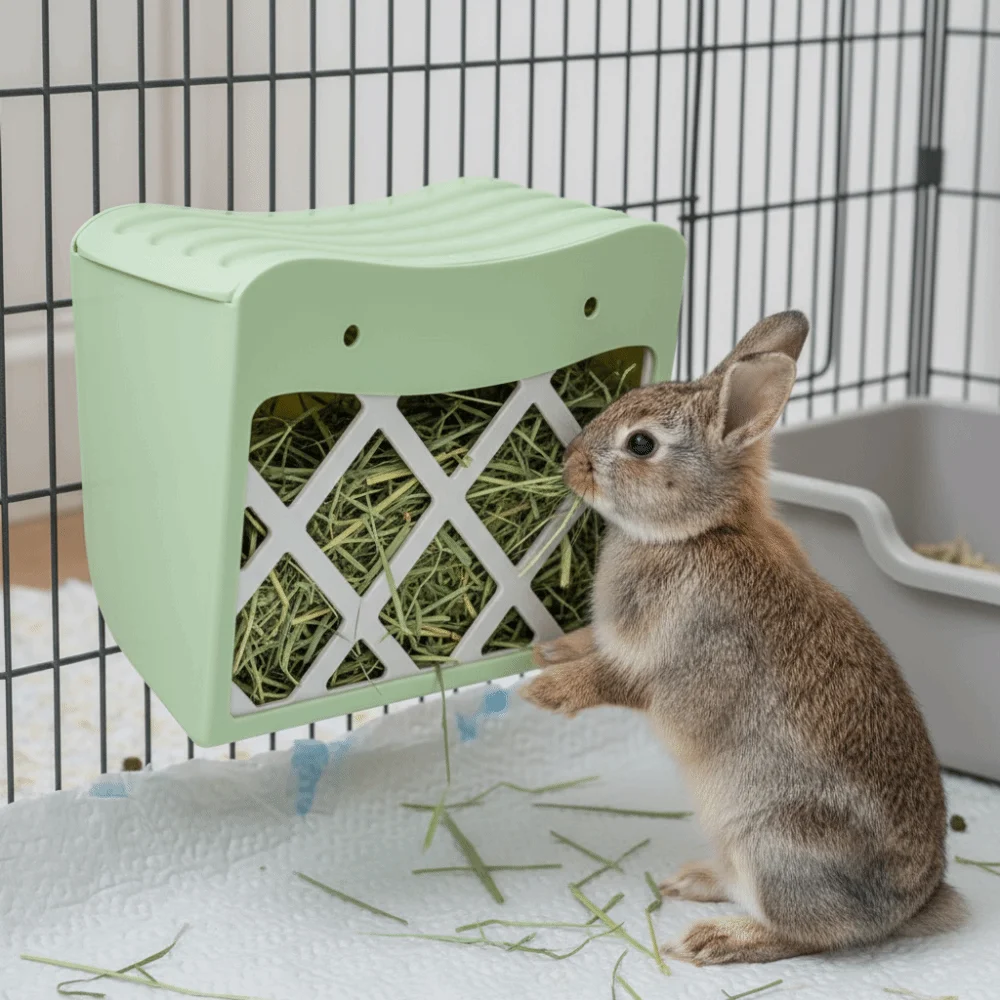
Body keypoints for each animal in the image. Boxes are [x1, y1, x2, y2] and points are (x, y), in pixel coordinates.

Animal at [521, 310, 966, 965]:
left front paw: (543, 691)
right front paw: (548, 651)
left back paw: (716, 939)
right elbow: (591, 645)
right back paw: (692, 880)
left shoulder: (676, 660)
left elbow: (610, 680)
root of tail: (908, 908)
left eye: (641, 444)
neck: (697, 533)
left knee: (808, 935)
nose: (569, 460)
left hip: (774, 848)